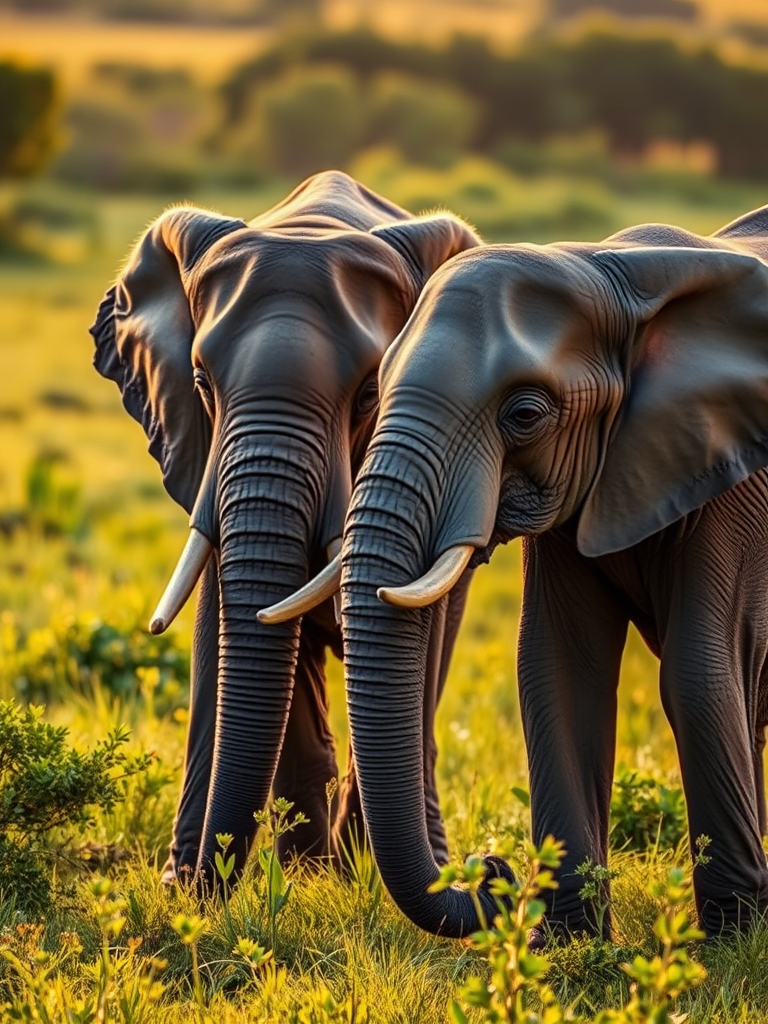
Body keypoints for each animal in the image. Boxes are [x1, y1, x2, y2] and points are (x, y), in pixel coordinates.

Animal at [272, 204, 768, 939]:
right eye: (373, 393)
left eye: (525, 415)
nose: (491, 869)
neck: (612, 272)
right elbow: (555, 667)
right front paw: (566, 939)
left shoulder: (736, 484)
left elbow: (700, 672)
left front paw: (734, 935)